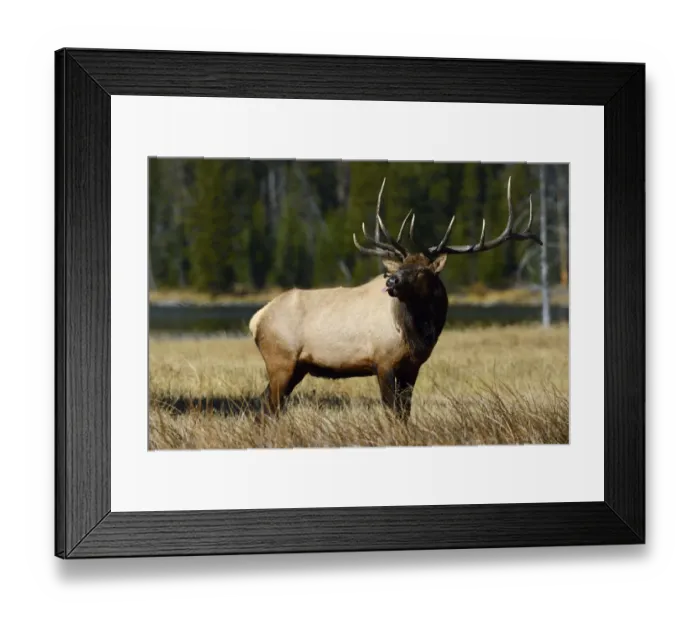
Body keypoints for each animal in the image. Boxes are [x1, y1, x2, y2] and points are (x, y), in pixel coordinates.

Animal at [248, 176, 543, 421]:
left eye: (422, 270)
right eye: (401, 267)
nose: (391, 281)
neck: (418, 334)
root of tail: (256, 319)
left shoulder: (411, 367)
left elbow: (405, 412)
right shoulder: (384, 361)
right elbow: (392, 411)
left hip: (297, 367)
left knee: (266, 405)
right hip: (281, 360)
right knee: (268, 406)